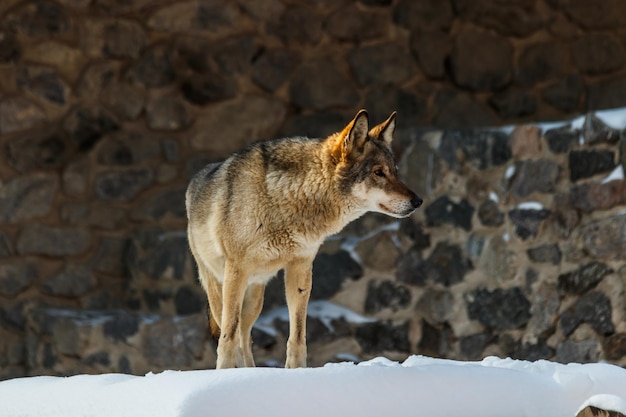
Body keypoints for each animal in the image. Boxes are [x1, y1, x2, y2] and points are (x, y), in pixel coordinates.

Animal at [183, 109, 422, 368]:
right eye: (378, 173)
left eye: (395, 172)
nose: (418, 201)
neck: (286, 198)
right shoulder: (236, 271)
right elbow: (228, 336)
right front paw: (226, 371)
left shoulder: (301, 267)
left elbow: (297, 335)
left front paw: (296, 370)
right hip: (221, 289)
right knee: (232, 332)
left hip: (255, 296)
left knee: (246, 338)